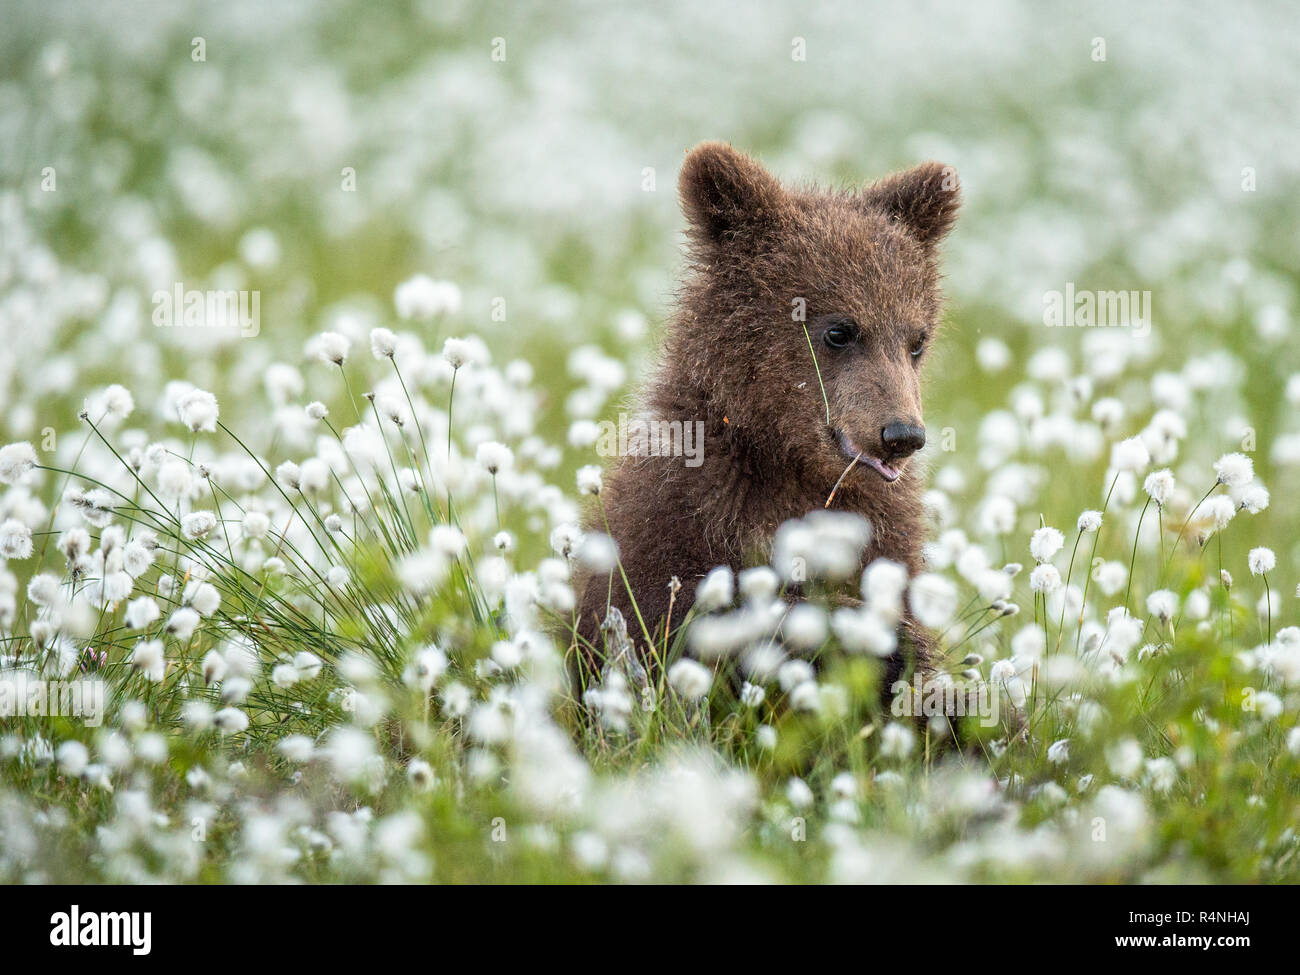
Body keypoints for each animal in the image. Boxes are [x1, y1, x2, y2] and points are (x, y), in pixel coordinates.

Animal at [573, 141, 960, 691]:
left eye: (916, 340)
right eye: (840, 331)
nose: (901, 433)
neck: (788, 460)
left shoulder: (887, 532)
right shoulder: (682, 515)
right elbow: (671, 623)